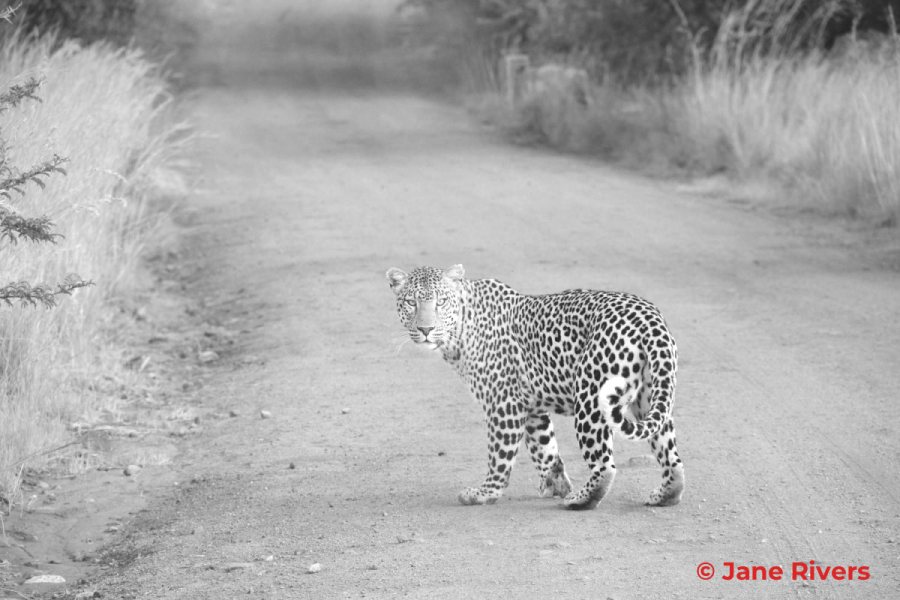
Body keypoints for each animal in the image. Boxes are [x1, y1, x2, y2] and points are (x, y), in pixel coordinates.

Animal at [385, 264, 684, 510]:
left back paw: (580, 500)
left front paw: (485, 493)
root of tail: (650, 318)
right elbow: (545, 448)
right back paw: (665, 495)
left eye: (441, 302)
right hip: (650, 396)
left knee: (605, 464)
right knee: (671, 456)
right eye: (411, 303)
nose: (425, 329)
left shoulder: (503, 403)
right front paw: (556, 484)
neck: (461, 329)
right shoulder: (531, 406)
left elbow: (500, 454)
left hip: (591, 398)